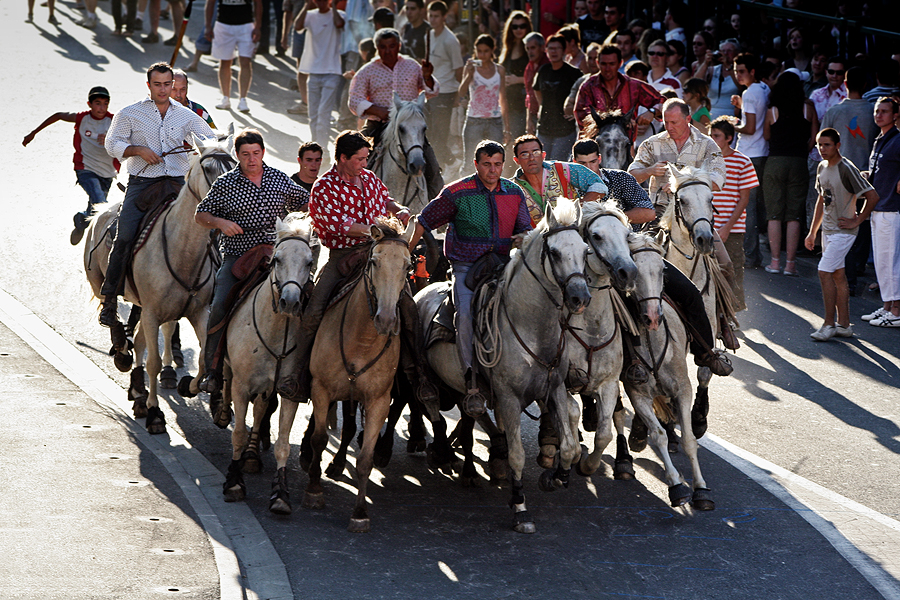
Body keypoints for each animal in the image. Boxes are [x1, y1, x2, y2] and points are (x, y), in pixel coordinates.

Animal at [84, 132, 236, 432]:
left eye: (235, 167)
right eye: (207, 168)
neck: (183, 250)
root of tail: (101, 211)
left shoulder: (199, 312)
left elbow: (204, 356)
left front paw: (188, 385)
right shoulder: (154, 312)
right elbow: (152, 361)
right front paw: (156, 413)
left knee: (142, 339)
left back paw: (138, 391)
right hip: (100, 283)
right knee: (114, 316)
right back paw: (122, 352)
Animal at [218, 213, 316, 512]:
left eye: (310, 262)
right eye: (277, 260)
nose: (290, 302)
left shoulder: (289, 391)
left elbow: (283, 443)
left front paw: (281, 494)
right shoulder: (241, 386)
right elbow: (237, 433)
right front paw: (233, 483)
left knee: (261, 409)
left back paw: (252, 455)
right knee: (223, 378)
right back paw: (222, 412)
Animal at [414, 199, 592, 532]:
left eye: (586, 251)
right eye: (555, 253)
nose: (580, 297)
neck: (531, 327)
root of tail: (422, 292)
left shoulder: (554, 389)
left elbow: (569, 445)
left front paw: (556, 477)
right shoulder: (508, 399)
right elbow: (517, 455)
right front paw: (520, 506)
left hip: (462, 386)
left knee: (468, 414)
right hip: (425, 375)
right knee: (431, 408)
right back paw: (442, 451)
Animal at [624, 232, 712, 508]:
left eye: (662, 269)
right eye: (632, 270)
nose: (653, 316)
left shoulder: (682, 389)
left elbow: (689, 440)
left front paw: (701, 488)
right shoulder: (638, 393)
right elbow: (658, 435)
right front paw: (676, 485)